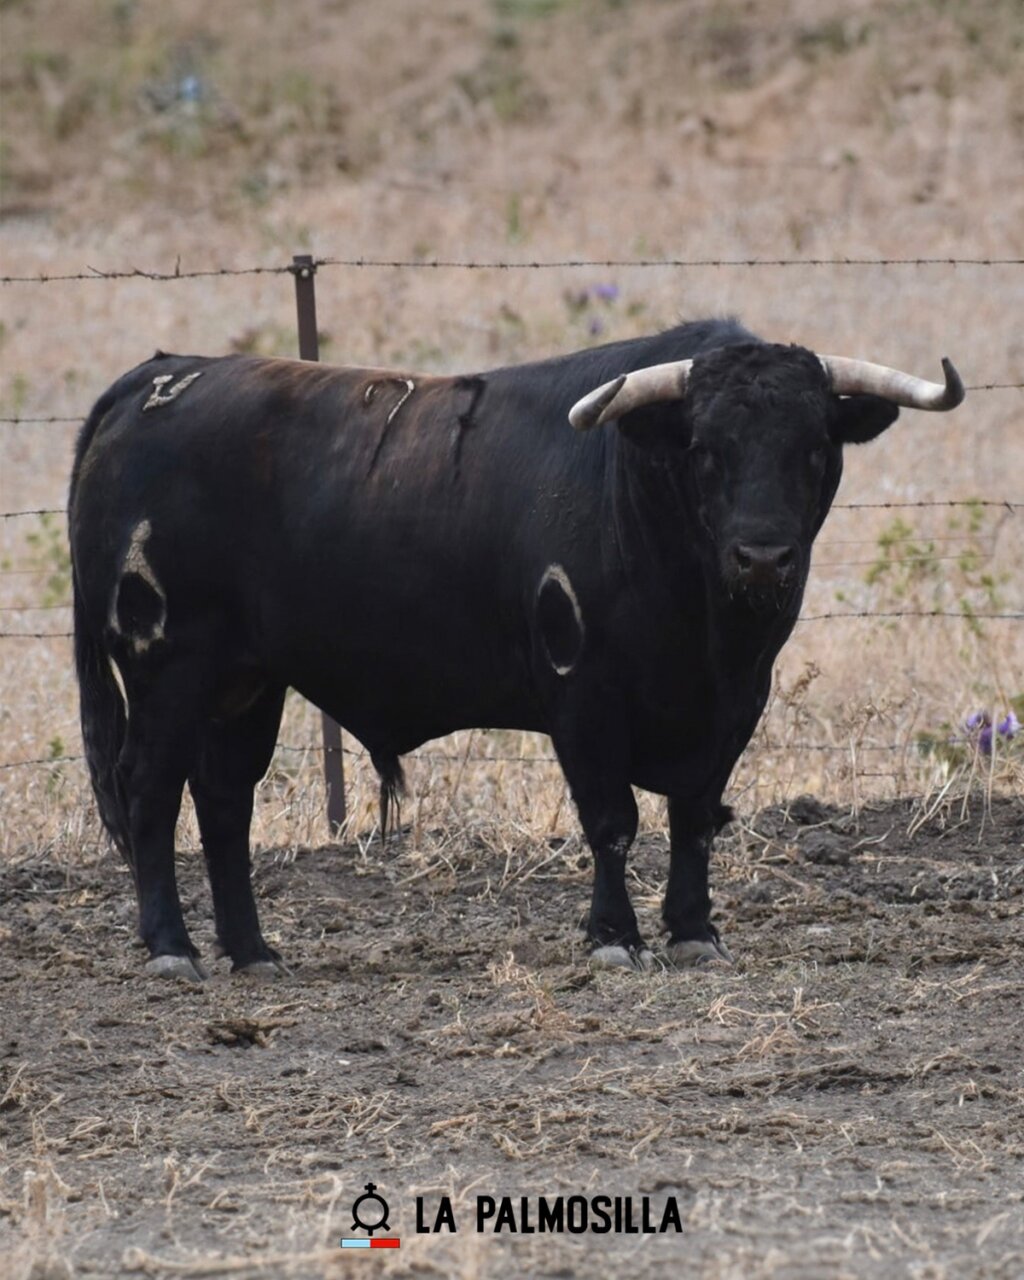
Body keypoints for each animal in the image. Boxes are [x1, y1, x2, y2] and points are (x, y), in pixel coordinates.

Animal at [68, 318, 964, 980]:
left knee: (224, 801)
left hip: (244, 683)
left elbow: (694, 820)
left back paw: (253, 951)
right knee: (149, 791)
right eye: (706, 449)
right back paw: (172, 949)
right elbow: (612, 821)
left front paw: (694, 931)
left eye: (814, 446)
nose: (764, 557)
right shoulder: (584, 696)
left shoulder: (735, 707)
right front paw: (615, 937)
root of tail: (159, 377)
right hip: (165, 665)